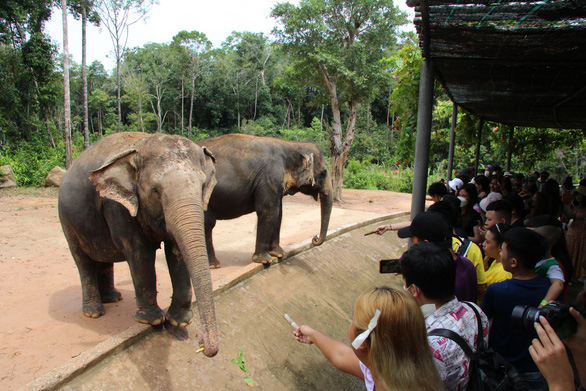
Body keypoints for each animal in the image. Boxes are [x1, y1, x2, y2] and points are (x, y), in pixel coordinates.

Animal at [58, 132, 218, 358]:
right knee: (84, 262)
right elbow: (139, 252)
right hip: (67, 222)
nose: (202, 343)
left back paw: (113, 298)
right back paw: (94, 312)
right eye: (155, 190)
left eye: (203, 186)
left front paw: (179, 321)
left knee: (104, 260)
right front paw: (152, 320)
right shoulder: (116, 205)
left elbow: (176, 251)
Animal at [197, 133, 330, 268]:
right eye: (324, 173)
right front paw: (264, 260)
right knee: (207, 223)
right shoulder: (269, 178)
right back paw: (213, 265)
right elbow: (268, 211)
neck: (292, 145)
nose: (315, 238)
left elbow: (278, 212)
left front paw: (279, 254)